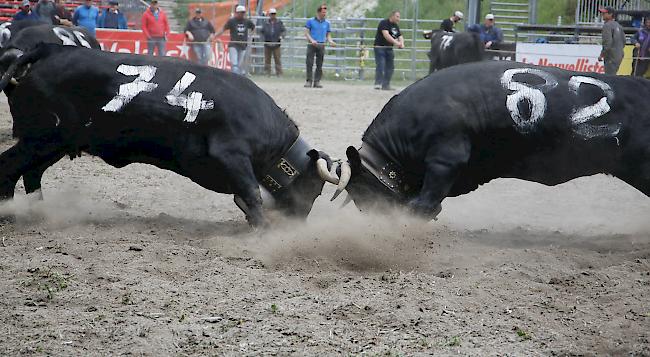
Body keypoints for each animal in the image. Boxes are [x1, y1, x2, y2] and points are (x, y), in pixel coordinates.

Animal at [0, 43, 346, 225]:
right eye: (314, 189)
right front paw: (263, 228)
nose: (300, 221)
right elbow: (251, 194)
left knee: (31, 175)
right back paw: (9, 211)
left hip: (55, 143)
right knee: (9, 168)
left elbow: (245, 198)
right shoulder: (232, 155)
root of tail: (50, 48)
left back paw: (39, 211)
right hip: (41, 138)